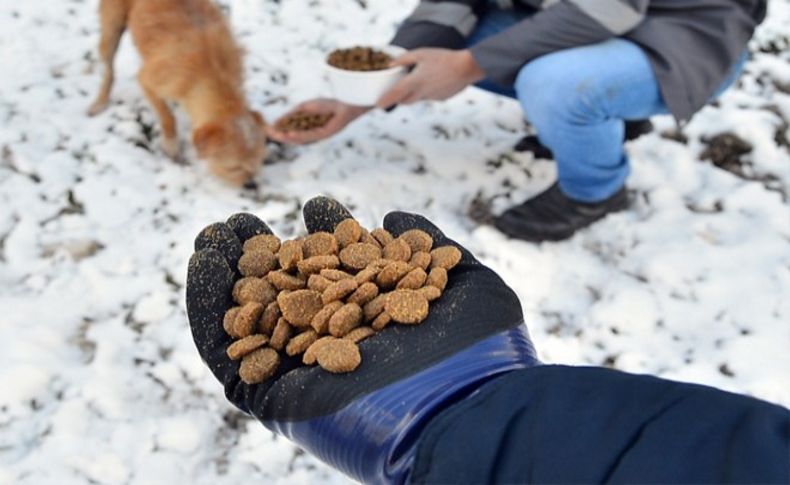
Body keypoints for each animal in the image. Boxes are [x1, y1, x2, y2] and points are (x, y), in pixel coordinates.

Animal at [86, 0, 266, 184]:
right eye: (233, 168)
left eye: (259, 163)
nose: (251, 185)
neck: (214, 72)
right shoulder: (147, 81)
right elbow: (167, 116)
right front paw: (171, 144)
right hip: (112, 28)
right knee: (109, 70)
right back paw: (100, 101)